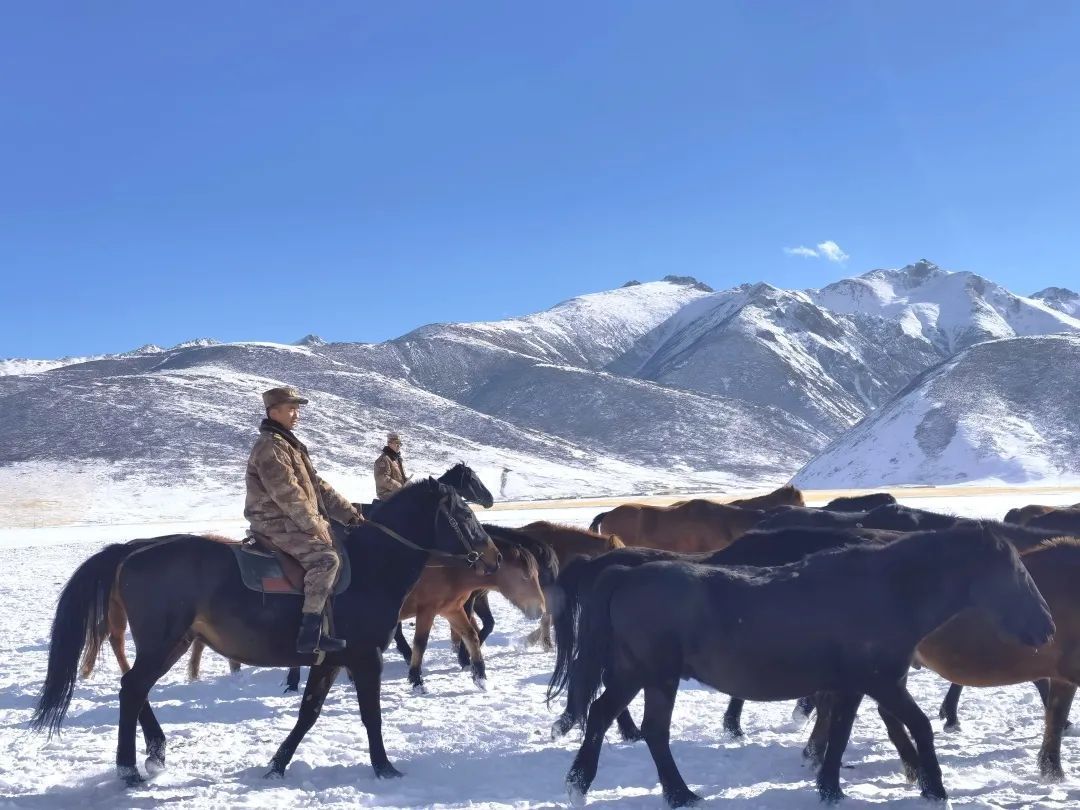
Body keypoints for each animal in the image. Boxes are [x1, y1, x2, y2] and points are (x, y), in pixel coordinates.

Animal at [30, 479, 501, 790]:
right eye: (464, 513)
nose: (493, 558)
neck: (373, 565)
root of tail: (132, 549)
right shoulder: (366, 658)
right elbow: (371, 715)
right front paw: (384, 767)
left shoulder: (330, 660)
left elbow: (308, 713)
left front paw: (277, 764)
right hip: (163, 642)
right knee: (131, 688)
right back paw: (130, 769)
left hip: (173, 643)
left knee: (135, 688)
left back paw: (155, 753)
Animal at [557, 527, 1054, 807]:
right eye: (1017, 573)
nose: (1048, 628)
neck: (888, 590)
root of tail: (624, 575)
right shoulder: (883, 682)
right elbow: (920, 727)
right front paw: (935, 790)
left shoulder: (852, 686)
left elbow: (839, 735)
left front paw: (829, 789)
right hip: (652, 675)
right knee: (639, 727)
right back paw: (662, 793)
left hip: (640, 675)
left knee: (616, 720)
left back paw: (603, 787)